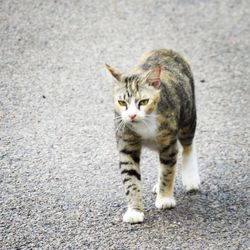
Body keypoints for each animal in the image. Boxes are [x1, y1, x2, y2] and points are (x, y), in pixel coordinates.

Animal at [105, 48, 201, 223]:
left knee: (187, 144)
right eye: (122, 102)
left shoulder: (168, 140)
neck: (144, 124)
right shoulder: (126, 142)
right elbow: (130, 177)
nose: (132, 115)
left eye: (143, 101)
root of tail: (165, 50)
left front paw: (165, 198)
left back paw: (191, 179)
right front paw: (135, 211)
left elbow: (168, 170)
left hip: (188, 114)